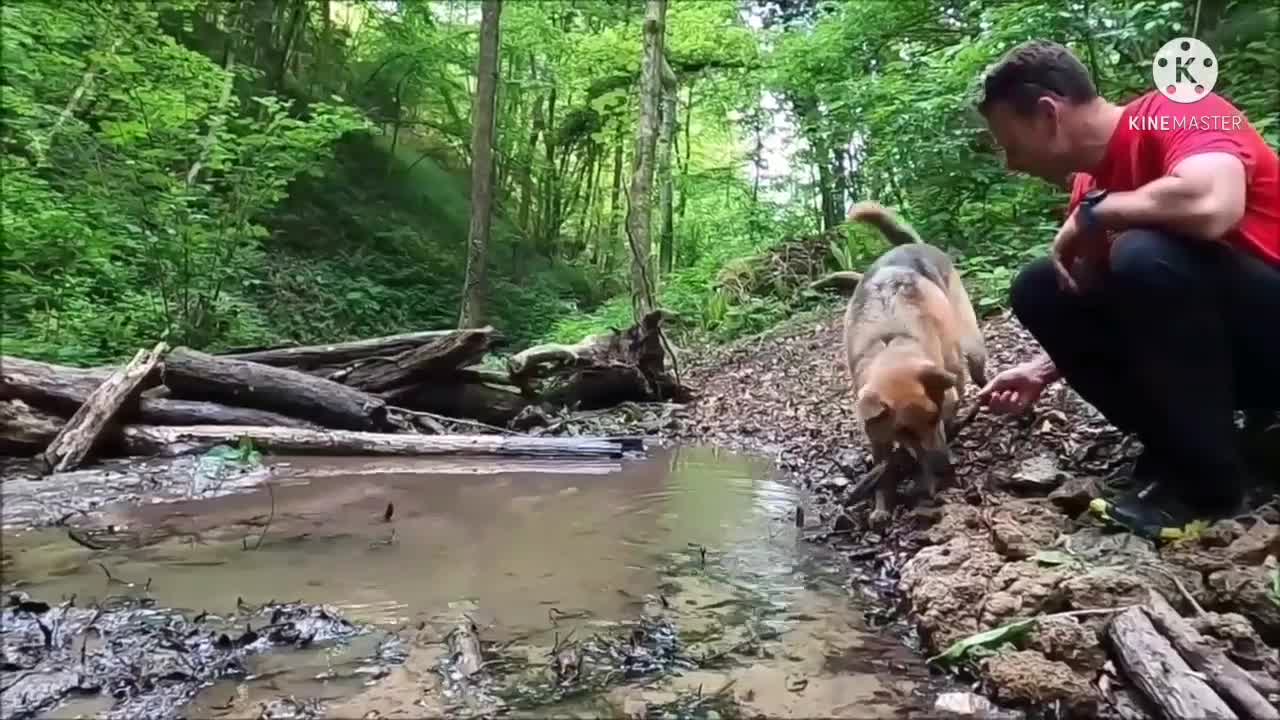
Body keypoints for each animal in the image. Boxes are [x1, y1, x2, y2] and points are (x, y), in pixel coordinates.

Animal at [839, 198, 988, 517]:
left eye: (933, 417)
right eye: (904, 430)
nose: (945, 467)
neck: (891, 343)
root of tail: (914, 245)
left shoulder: (948, 397)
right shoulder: (878, 435)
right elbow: (887, 468)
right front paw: (882, 505)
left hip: (973, 349)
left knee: (983, 378)